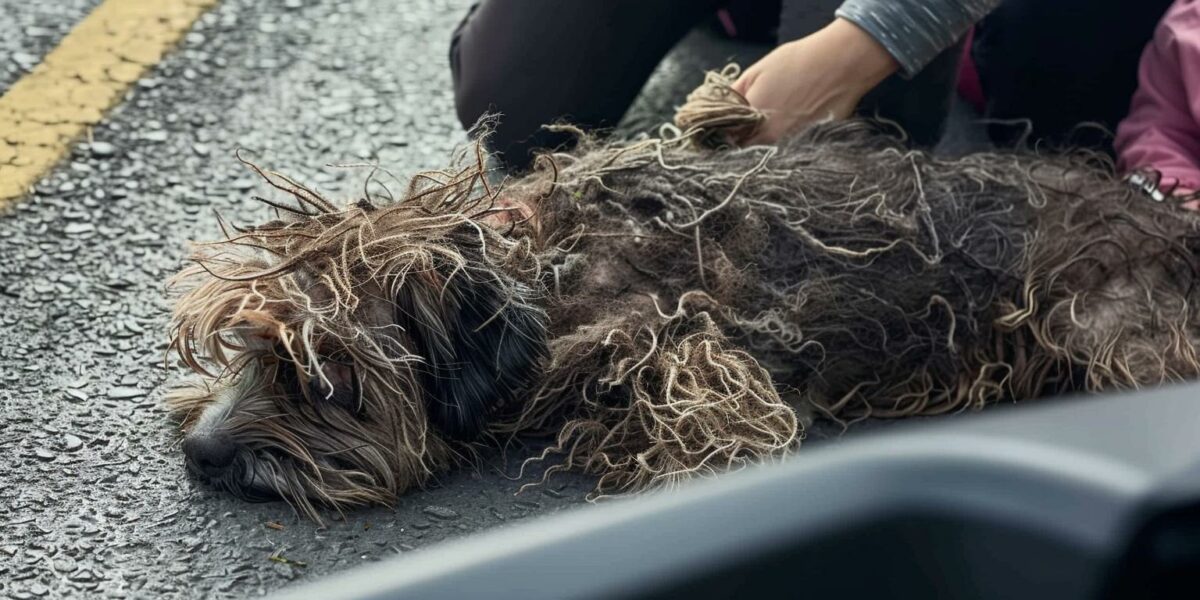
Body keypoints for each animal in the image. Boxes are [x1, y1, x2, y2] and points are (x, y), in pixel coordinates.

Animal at [164, 70, 1200, 520]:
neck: (542, 269)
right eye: (244, 344)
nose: (201, 453)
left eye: (322, 374)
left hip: (1110, 330)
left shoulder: (704, 375)